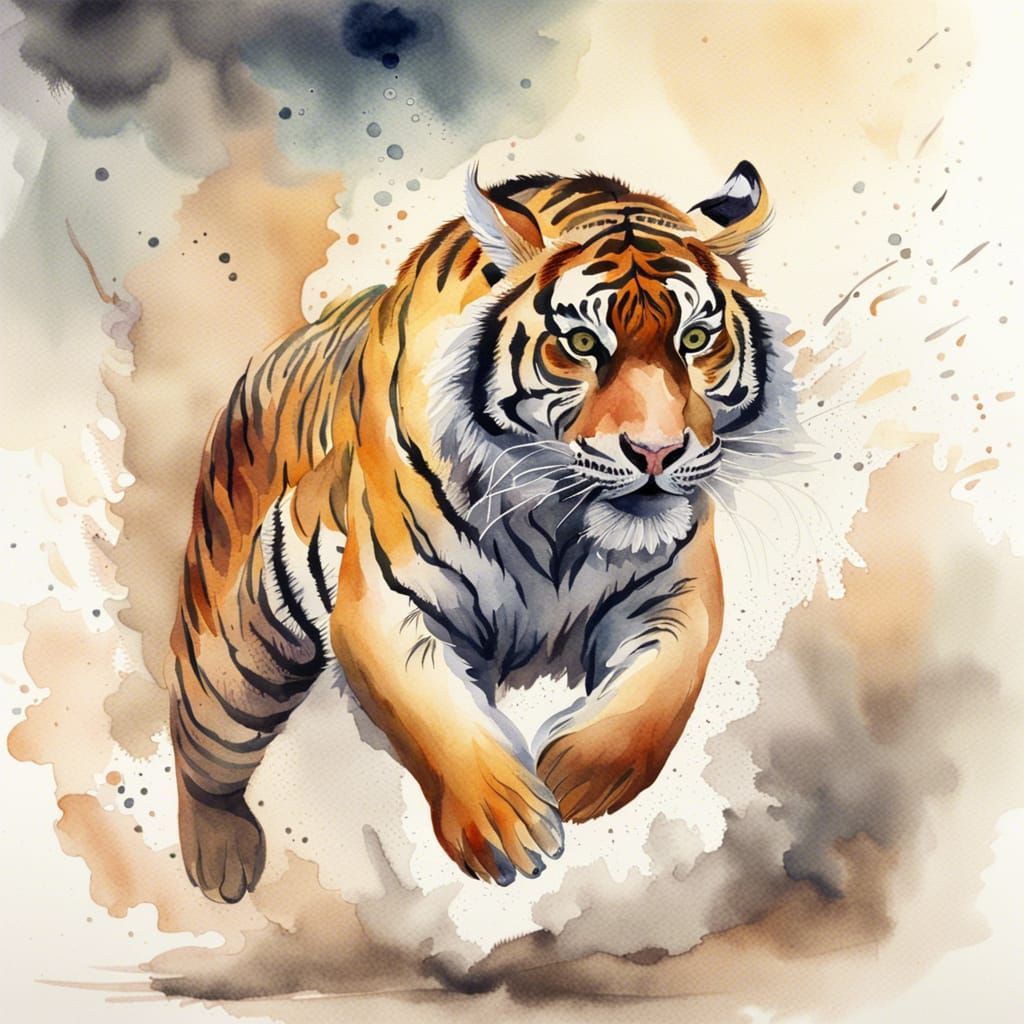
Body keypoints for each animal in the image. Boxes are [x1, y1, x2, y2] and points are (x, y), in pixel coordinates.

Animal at [169, 159, 788, 902]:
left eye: (695, 340)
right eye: (582, 344)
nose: (656, 453)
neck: (560, 517)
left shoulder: (677, 591)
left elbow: (660, 693)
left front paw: (575, 777)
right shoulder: (386, 600)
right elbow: (435, 718)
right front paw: (505, 826)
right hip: (233, 656)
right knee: (199, 746)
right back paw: (219, 861)